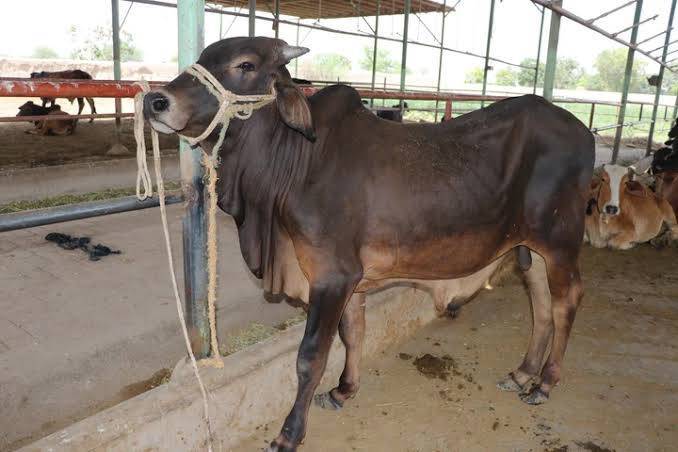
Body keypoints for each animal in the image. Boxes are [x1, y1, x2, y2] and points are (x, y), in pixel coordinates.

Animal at [142, 37, 594, 452]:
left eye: (245, 64)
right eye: (202, 58)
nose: (155, 100)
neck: (295, 162)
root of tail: (583, 131)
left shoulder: (332, 276)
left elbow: (311, 356)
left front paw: (289, 434)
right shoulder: (349, 281)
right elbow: (353, 332)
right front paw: (344, 390)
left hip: (560, 243)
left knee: (566, 300)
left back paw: (545, 382)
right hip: (530, 249)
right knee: (541, 303)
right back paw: (523, 372)